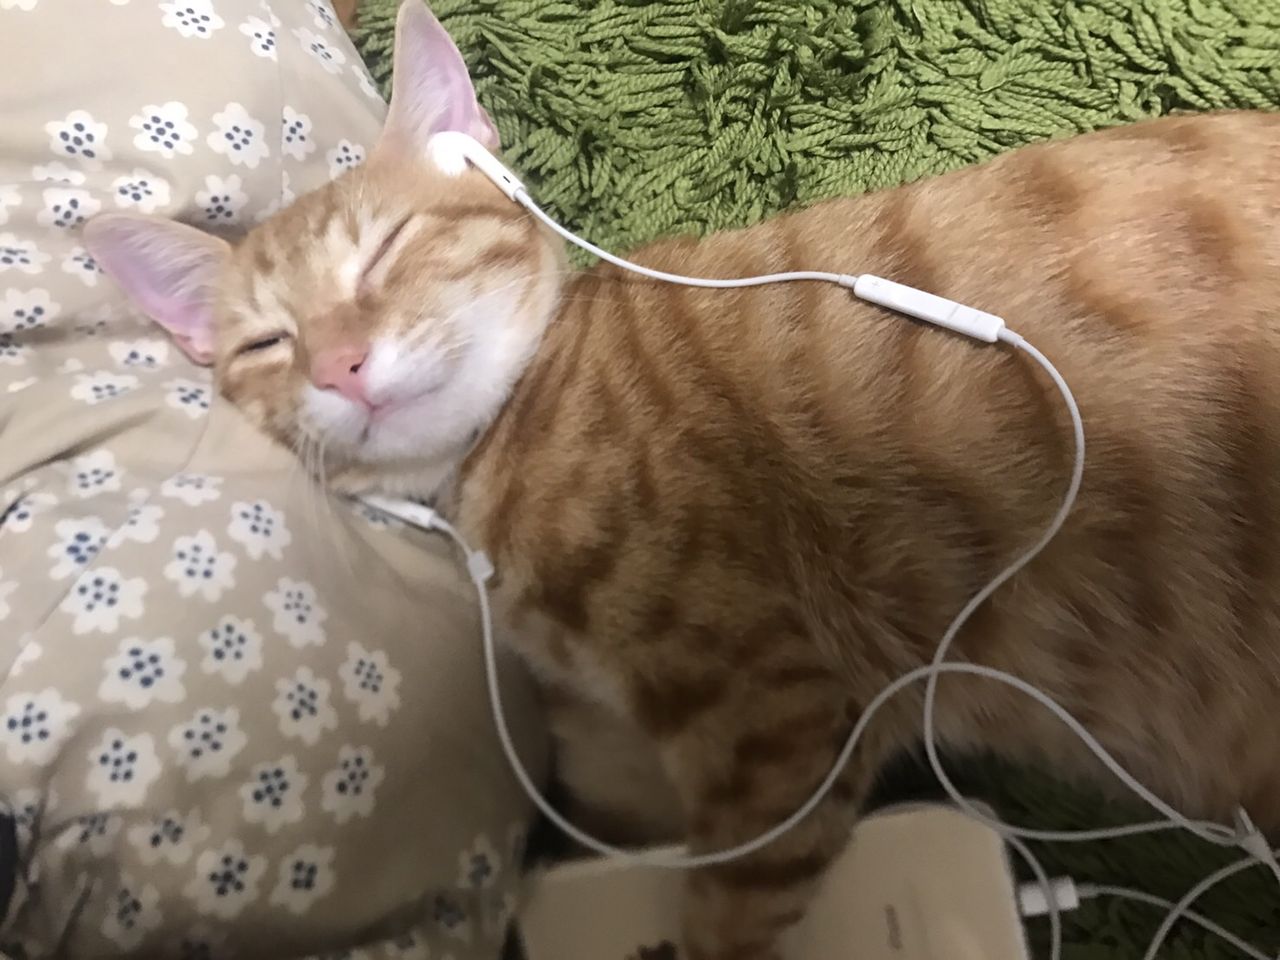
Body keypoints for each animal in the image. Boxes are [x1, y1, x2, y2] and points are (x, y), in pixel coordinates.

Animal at [84, 2, 1280, 958]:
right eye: (268, 343)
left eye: (385, 252)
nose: (338, 364)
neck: (505, 442)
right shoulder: (620, 760)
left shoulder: (775, 724)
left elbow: (727, 912)